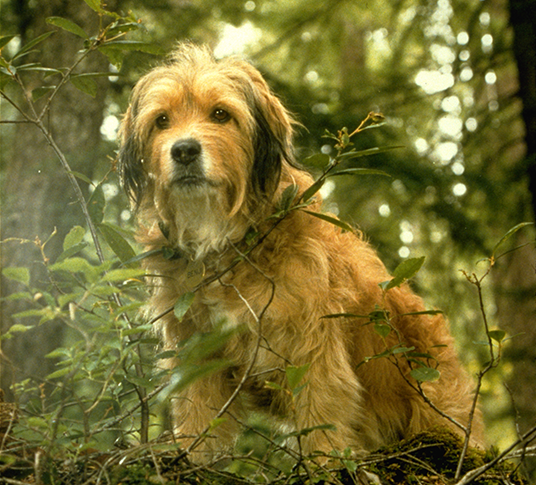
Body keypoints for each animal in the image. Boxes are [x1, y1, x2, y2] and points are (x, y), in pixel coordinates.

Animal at [118, 42, 486, 462]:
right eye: (162, 121)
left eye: (221, 114)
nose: (183, 151)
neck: (231, 241)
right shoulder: (200, 352)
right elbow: (200, 419)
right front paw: (193, 462)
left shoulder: (315, 352)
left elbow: (321, 420)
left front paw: (326, 467)